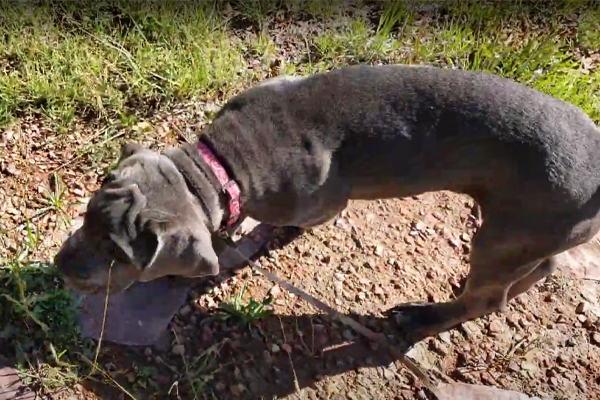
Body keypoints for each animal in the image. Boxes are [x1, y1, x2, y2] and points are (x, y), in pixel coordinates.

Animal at [54, 65, 600, 344]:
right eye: (86, 217)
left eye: (121, 256)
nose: (61, 267)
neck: (224, 164)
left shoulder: (321, 204)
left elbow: (271, 228)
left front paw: (244, 241)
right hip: (523, 229)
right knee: (535, 270)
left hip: (508, 232)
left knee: (487, 298)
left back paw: (420, 319)